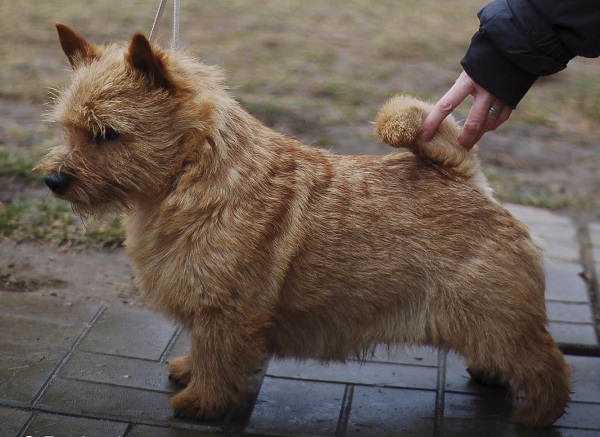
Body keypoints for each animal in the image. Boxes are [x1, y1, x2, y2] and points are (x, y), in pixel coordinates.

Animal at [35, 24, 568, 426]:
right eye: (67, 128)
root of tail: (467, 177)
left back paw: (538, 414)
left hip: (498, 314)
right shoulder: (211, 305)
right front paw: (190, 372)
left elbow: (217, 354)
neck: (196, 177)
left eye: (108, 134)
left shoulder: (225, 308)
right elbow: (203, 350)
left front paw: (202, 402)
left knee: (547, 363)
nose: (53, 180)